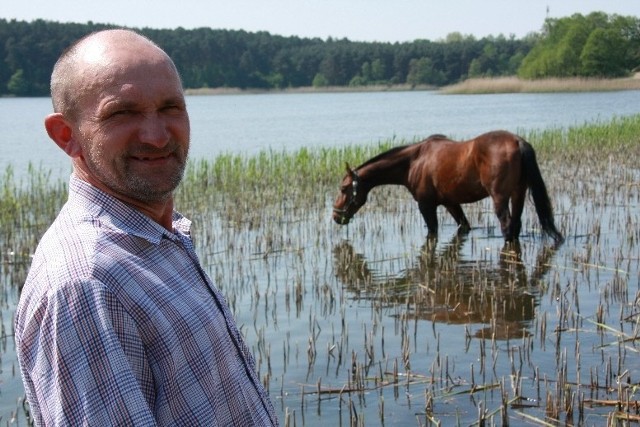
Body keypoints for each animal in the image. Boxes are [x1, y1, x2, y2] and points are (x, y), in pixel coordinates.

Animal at [332, 130, 564, 244]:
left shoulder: (426, 206)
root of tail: (517, 141)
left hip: (500, 197)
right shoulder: (451, 203)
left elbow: (432, 233)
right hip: (518, 194)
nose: (336, 216)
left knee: (507, 226)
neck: (414, 161)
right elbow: (464, 226)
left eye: (343, 188)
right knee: (515, 225)